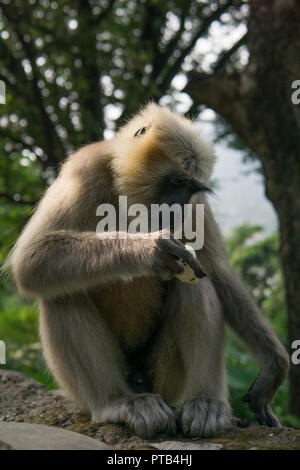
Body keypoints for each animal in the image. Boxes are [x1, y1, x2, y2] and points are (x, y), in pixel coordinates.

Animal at [7, 102, 288, 436]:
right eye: (176, 183)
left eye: (189, 189)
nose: (177, 208)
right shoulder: (85, 170)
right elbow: (31, 260)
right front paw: (151, 250)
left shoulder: (197, 204)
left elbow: (217, 273)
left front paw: (273, 365)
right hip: (79, 389)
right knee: (62, 293)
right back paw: (117, 402)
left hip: (164, 377)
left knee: (196, 284)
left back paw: (206, 404)